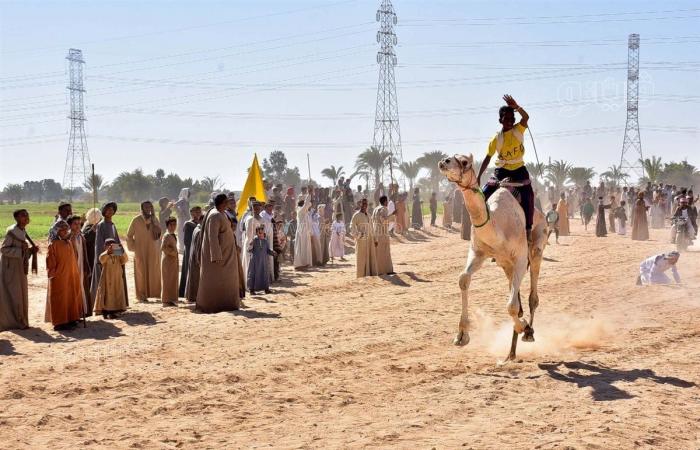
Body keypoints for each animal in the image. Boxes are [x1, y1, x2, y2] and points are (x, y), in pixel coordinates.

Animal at [438, 155, 548, 362]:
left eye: (464, 162)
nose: (444, 161)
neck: (496, 225)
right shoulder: (478, 252)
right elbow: (463, 279)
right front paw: (461, 335)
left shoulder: (520, 257)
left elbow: (511, 306)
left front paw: (523, 326)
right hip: (505, 264)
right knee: (516, 292)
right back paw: (511, 351)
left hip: (537, 245)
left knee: (532, 296)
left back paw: (528, 333)